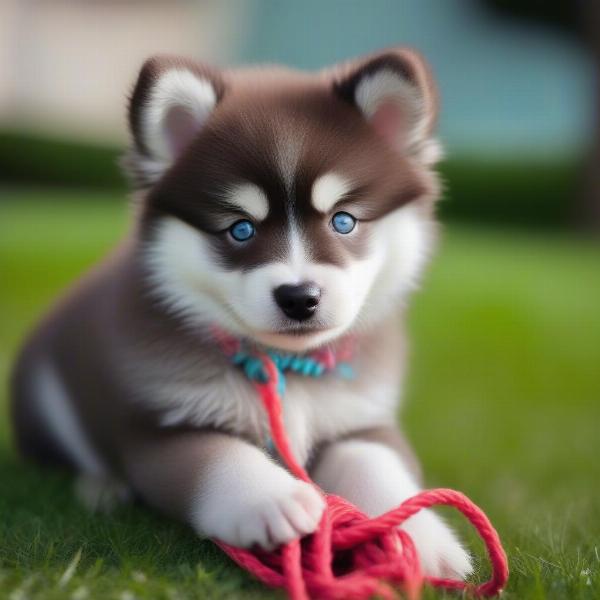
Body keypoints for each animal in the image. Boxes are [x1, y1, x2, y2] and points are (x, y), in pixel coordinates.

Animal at [10, 48, 474, 580]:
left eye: (343, 221)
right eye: (240, 229)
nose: (299, 297)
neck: (291, 368)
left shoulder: (362, 416)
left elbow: (375, 463)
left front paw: (423, 536)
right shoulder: (163, 426)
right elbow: (216, 457)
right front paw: (269, 499)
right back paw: (101, 486)